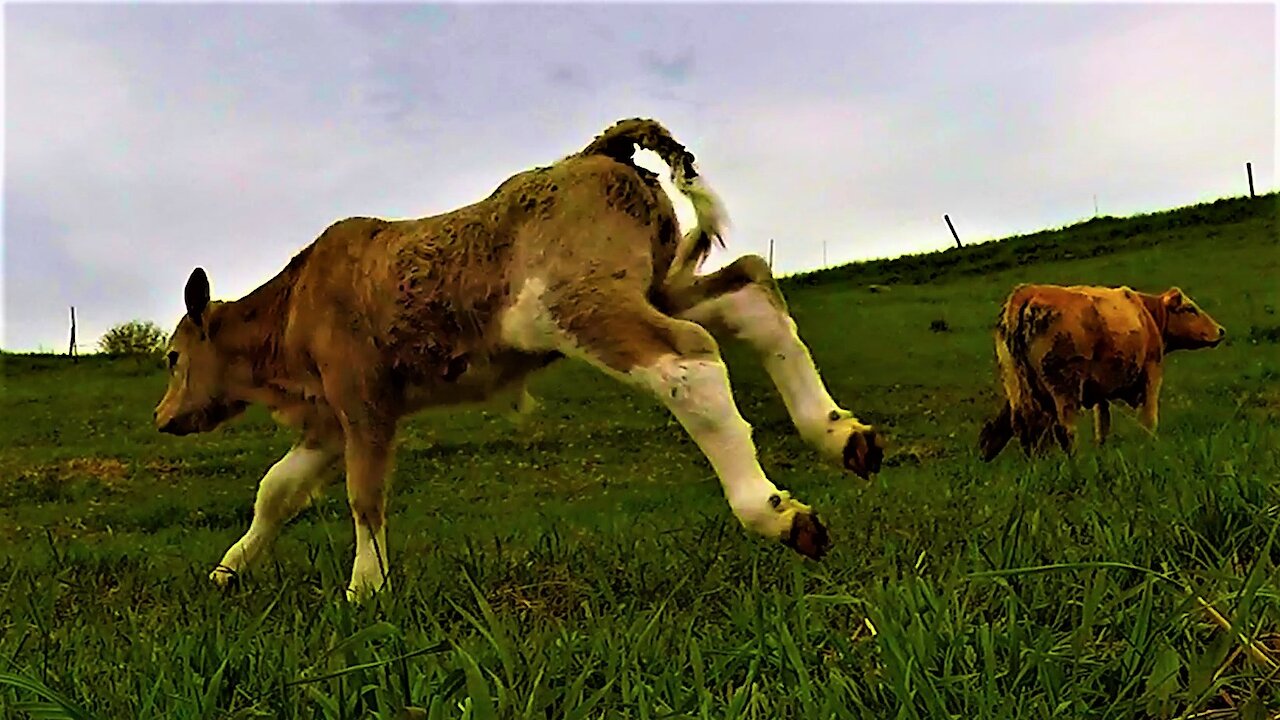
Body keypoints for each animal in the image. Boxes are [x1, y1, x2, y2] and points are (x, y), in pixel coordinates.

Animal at [154, 119, 885, 599]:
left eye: (170, 356)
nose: (163, 418)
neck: (297, 303)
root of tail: (592, 153)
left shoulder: (363, 405)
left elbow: (364, 497)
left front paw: (365, 591)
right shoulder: (330, 420)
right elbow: (276, 491)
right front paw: (230, 568)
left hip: (582, 304)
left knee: (688, 363)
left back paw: (774, 511)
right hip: (657, 285)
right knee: (751, 296)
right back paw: (839, 434)